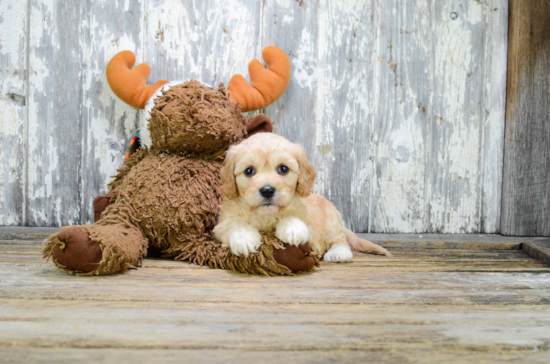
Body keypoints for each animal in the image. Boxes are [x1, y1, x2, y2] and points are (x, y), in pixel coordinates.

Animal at [212, 134, 392, 262]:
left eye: (283, 169)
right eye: (249, 171)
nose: (268, 190)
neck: (266, 215)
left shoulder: (308, 223)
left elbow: (294, 217)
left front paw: (293, 229)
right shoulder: (222, 224)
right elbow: (234, 224)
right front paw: (244, 238)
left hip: (331, 223)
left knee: (339, 240)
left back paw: (338, 253)